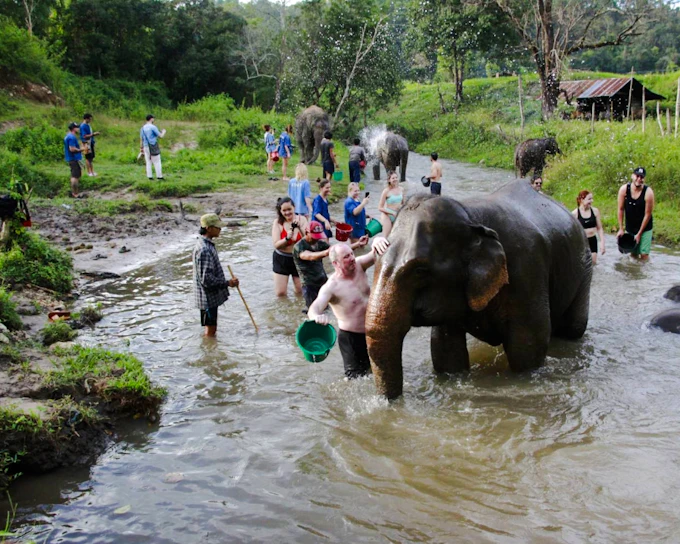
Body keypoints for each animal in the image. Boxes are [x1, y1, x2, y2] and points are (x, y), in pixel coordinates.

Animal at [365, 181, 593, 400]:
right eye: (376, 256)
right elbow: (446, 351)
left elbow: (527, 348)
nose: (391, 403)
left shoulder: (528, 269)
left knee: (573, 328)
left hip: (585, 265)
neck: (471, 217)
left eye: (420, 271)